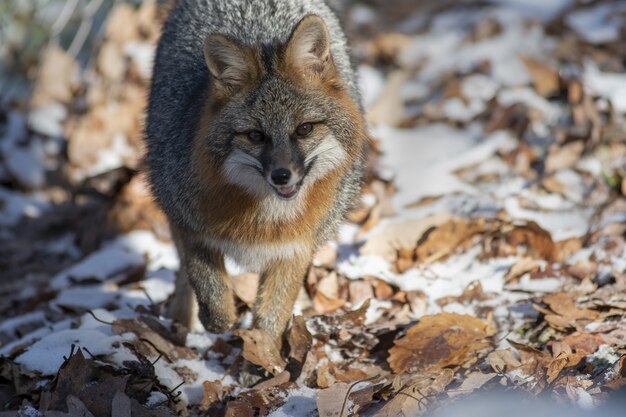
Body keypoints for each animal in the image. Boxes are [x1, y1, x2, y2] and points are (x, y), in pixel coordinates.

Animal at [144, 0, 368, 346]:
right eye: (255, 136)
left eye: (304, 129)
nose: (282, 175)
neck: (266, 218)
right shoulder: (187, 223)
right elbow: (208, 288)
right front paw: (218, 320)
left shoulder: (295, 249)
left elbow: (270, 319)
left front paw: (263, 356)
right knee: (182, 275)